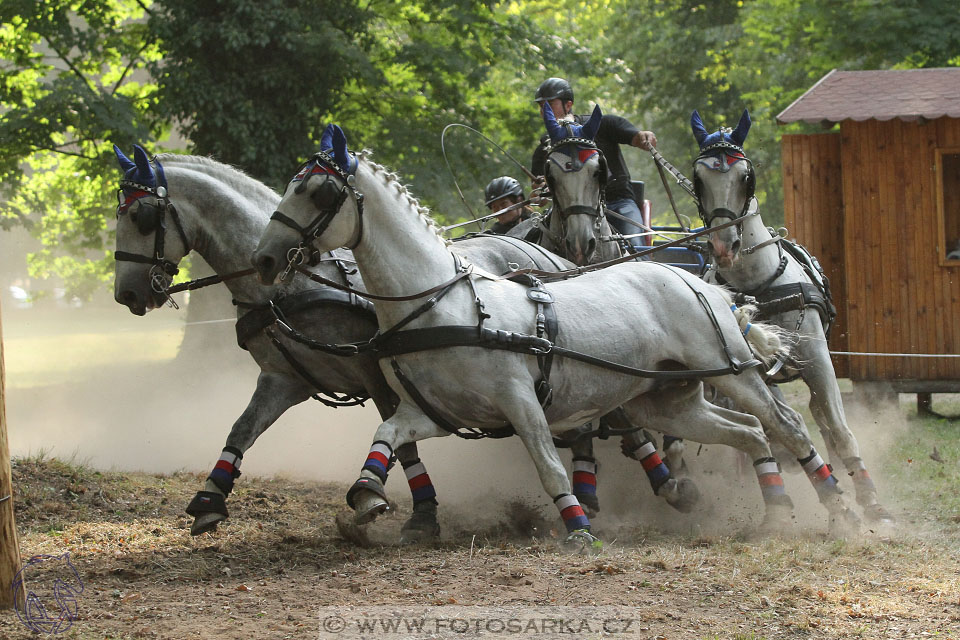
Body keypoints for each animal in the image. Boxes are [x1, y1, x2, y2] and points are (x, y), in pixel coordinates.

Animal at [251, 125, 860, 544]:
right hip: (667, 400)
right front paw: (366, 496)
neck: (443, 302)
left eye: (317, 194)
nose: (264, 258)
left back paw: (843, 505)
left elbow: (547, 462)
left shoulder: (519, 400)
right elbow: (387, 437)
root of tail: (700, 282)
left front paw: (578, 526)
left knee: (788, 425)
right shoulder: (433, 412)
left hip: (732, 372)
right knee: (750, 433)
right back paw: (775, 512)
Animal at [688, 107, 892, 524]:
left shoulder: (818, 363)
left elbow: (839, 428)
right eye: (699, 178)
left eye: (745, 176)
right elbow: (776, 426)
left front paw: (871, 502)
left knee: (825, 421)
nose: (724, 245)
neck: (759, 285)